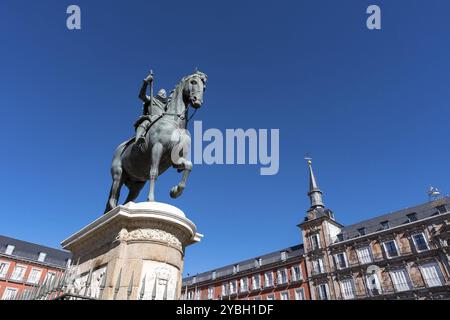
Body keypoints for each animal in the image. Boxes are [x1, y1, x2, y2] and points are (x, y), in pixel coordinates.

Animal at [104, 71, 207, 214]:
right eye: (193, 82)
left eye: (204, 87)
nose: (197, 101)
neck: (175, 124)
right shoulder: (157, 148)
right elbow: (154, 172)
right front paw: (151, 200)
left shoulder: (175, 159)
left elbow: (188, 165)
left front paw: (175, 191)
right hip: (118, 175)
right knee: (113, 199)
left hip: (137, 183)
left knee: (127, 199)